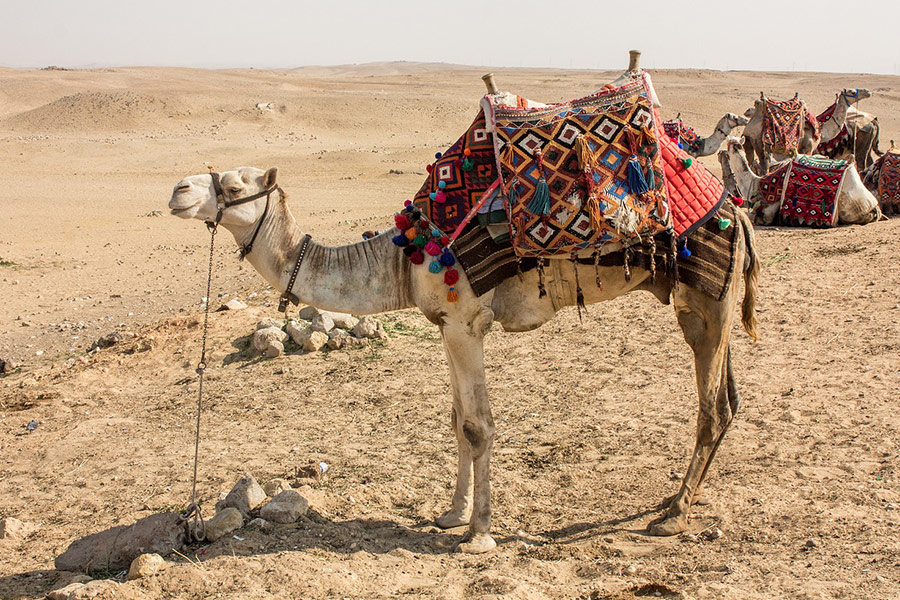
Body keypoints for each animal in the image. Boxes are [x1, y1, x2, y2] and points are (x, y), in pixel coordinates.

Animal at [168, 164, 760, 553]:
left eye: (234, 187)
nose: (177, 190)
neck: (401, 259)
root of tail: (737, 210)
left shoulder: (467, 322)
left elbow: (478, 426)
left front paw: (479, 535)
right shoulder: (447, 327)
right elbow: (456, 421)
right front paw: (451, 514)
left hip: (706, 297)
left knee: (711, 407)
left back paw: (674, 516)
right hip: (705, 304)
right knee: (730, 399)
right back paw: (673, 501)